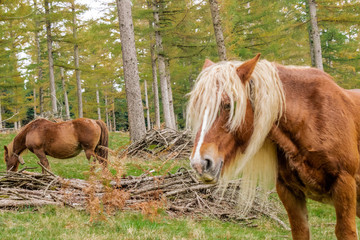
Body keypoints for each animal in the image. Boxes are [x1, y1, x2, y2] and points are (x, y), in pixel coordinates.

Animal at [187, 54, 360, 240]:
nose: (200, 163)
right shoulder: (289, 191)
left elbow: (346, 231)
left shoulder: (344, 184)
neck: (311, 116)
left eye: (228, 105)